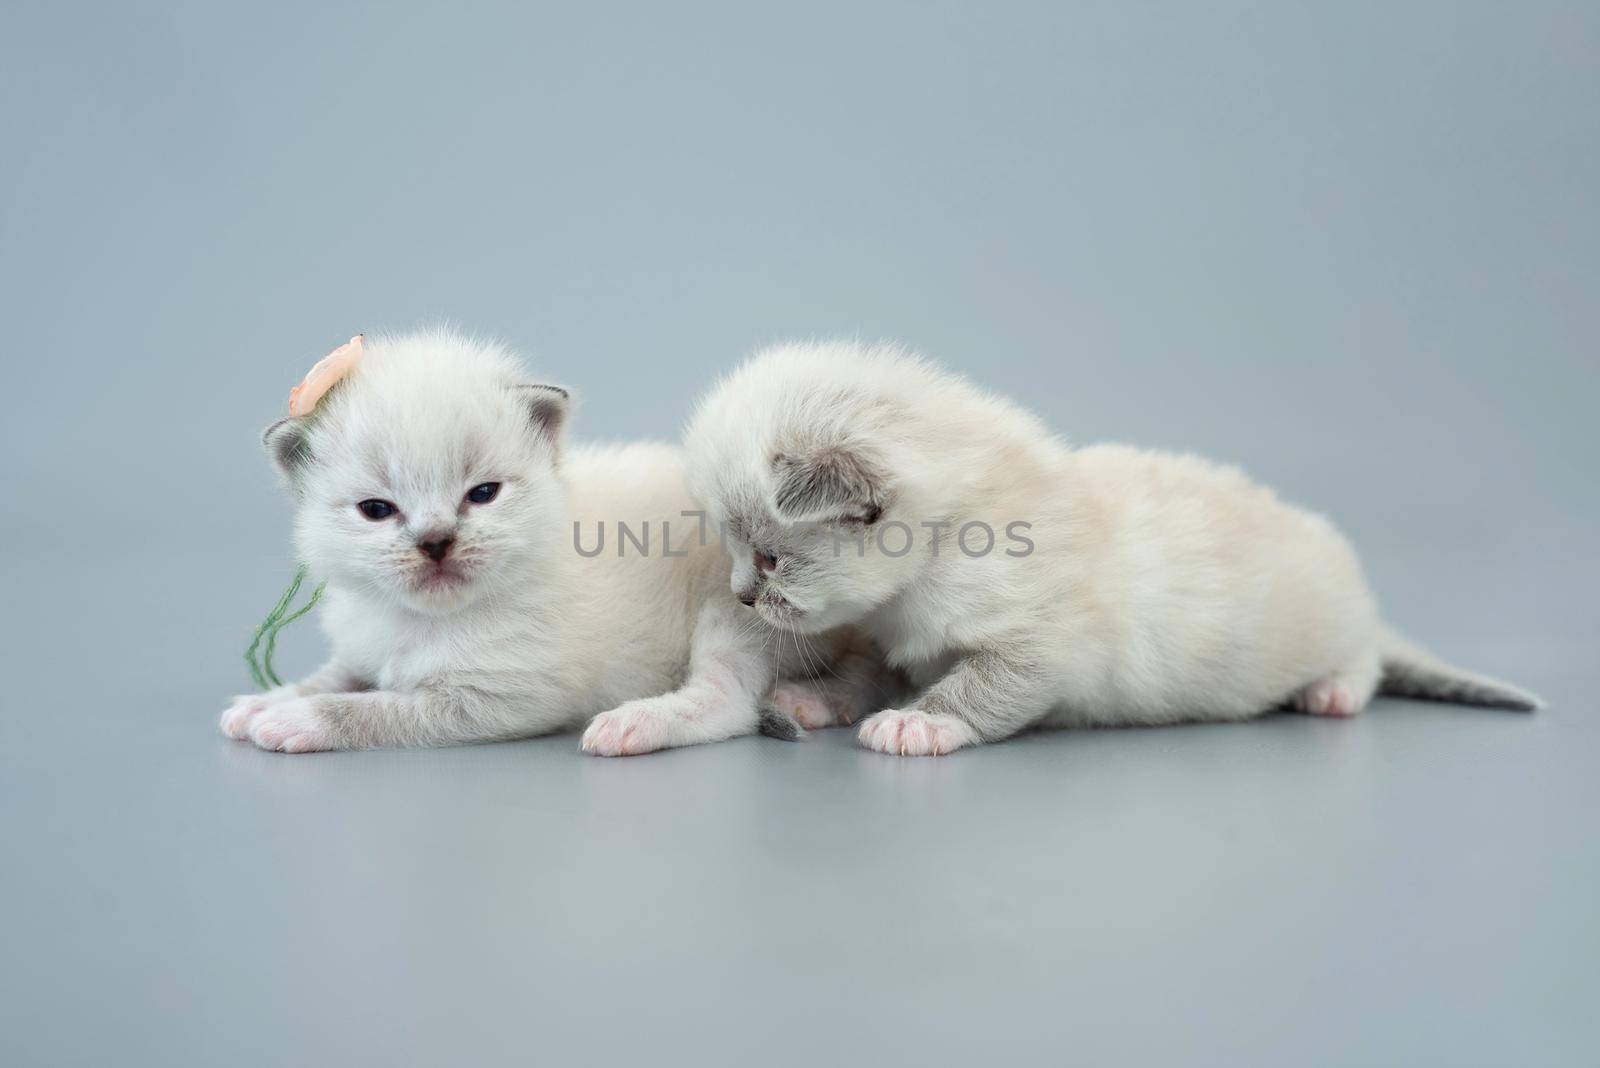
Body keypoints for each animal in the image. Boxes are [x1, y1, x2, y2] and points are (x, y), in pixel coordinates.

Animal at [219, 329, 870, 754]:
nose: (436, 541)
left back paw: (633, 725)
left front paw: (297, 719)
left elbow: (375, 708)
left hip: (739, 606)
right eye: (376, 510)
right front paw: (268, 700)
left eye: (482, 494)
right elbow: (338, 676)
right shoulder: (366, 644)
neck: (425, 621)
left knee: (728, 703)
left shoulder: (498, 700)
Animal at [681, 337, 1542, 754]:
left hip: (1341, 619)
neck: (935, 556)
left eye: (767, 556)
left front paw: (918, 724)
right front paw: (816, 697)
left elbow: (980, 686)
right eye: (739, 554)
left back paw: (1330, 691)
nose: (741, 597)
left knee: (1363, 659)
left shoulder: (1043, 646)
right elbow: (864, 674)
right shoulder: (893, 641)